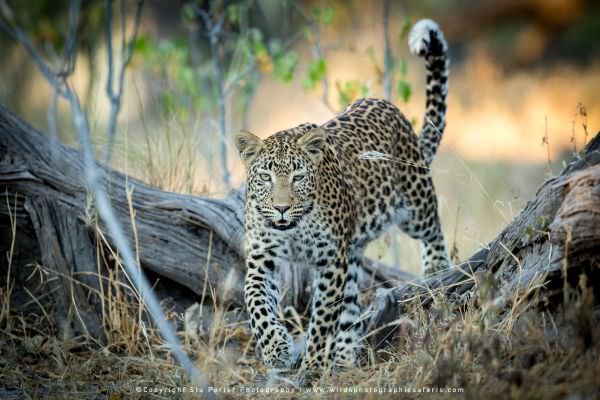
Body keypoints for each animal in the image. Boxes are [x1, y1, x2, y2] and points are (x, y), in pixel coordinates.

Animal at [234, 18, 450, 378]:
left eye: (298, 176)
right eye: (265, 177)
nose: (281, 208)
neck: (294, 229)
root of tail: (389, 107)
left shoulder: (330, 261)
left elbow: (323, 319)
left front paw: (312, 365)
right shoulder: (262, 259)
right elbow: (255, 302)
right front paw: (277, 349)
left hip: (414, 202)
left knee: (433, 229)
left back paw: (437, 268)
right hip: (353, 251)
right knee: (350, 307)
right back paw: (345, 357)